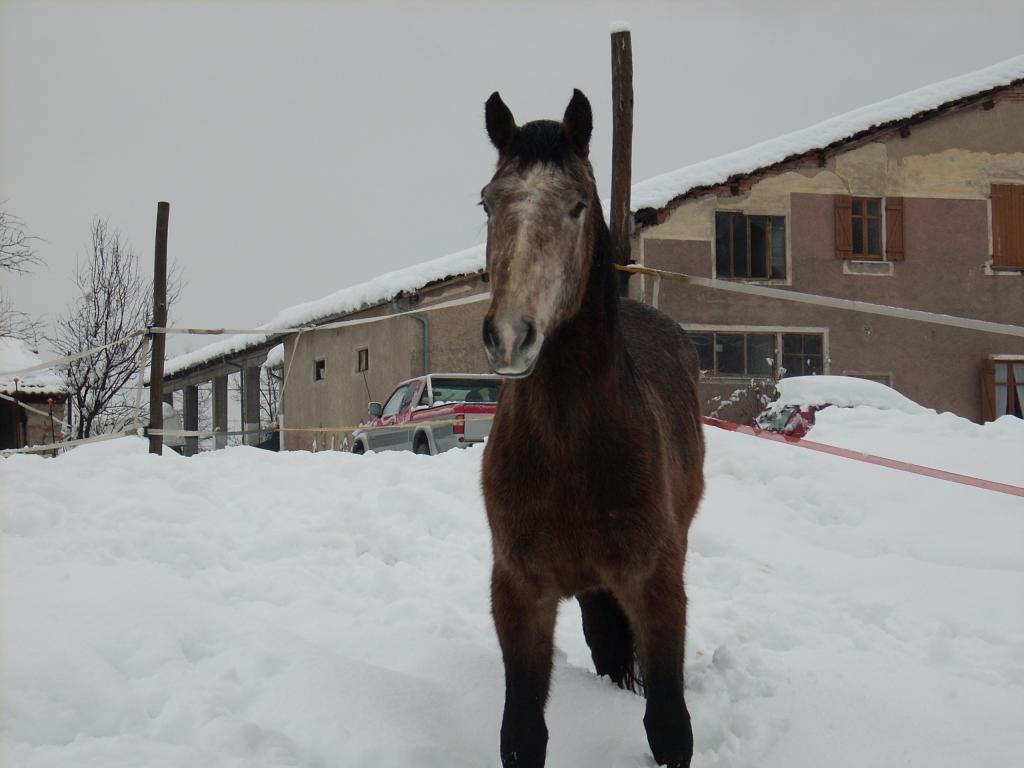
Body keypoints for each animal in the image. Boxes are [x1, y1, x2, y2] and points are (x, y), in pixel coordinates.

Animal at [479, 89, 705, 768]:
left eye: (577, 204)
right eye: (487, 202)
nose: (510, 337)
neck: (570, 452)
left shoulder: (657, 586)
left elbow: (669, 727)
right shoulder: (519, 591)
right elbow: (522, 736)